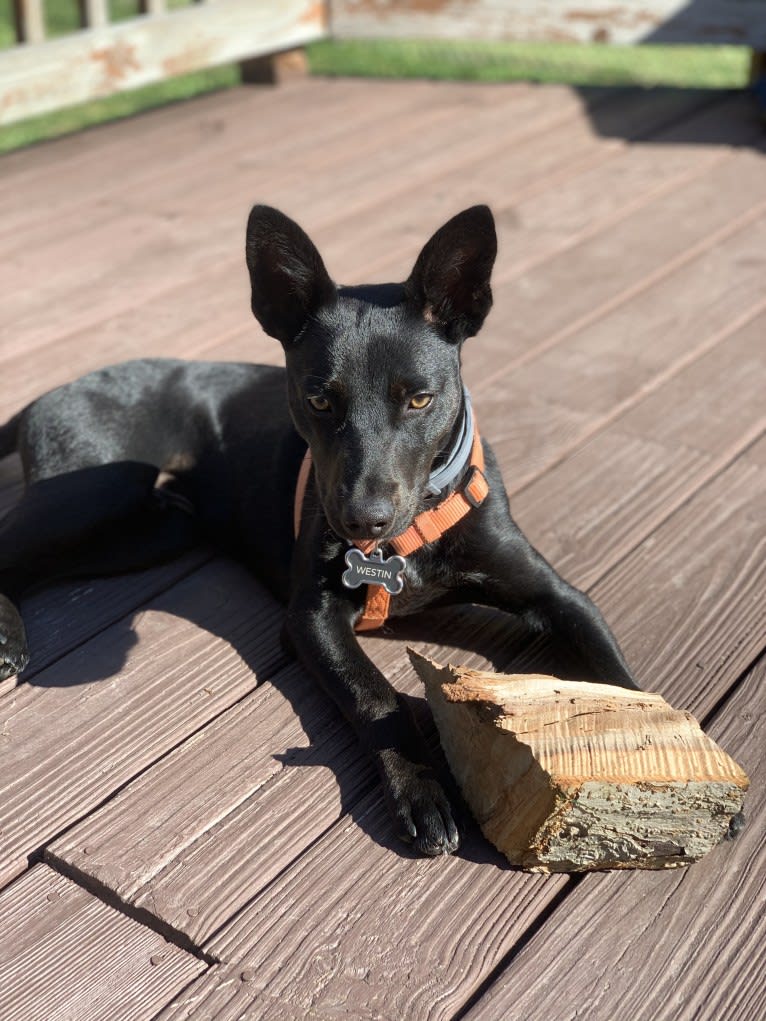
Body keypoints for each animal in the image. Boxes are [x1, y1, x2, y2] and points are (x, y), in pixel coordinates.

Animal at [0, 203, 637, 857]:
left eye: (420, 400)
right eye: (319, 401)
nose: (360, 519)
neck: (408, 537)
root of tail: (45, 397)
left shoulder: (561, 597)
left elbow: (628, 686)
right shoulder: (312, 617)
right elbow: (375, 694)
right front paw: (421, 788)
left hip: (155, 529)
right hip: (98, 491)